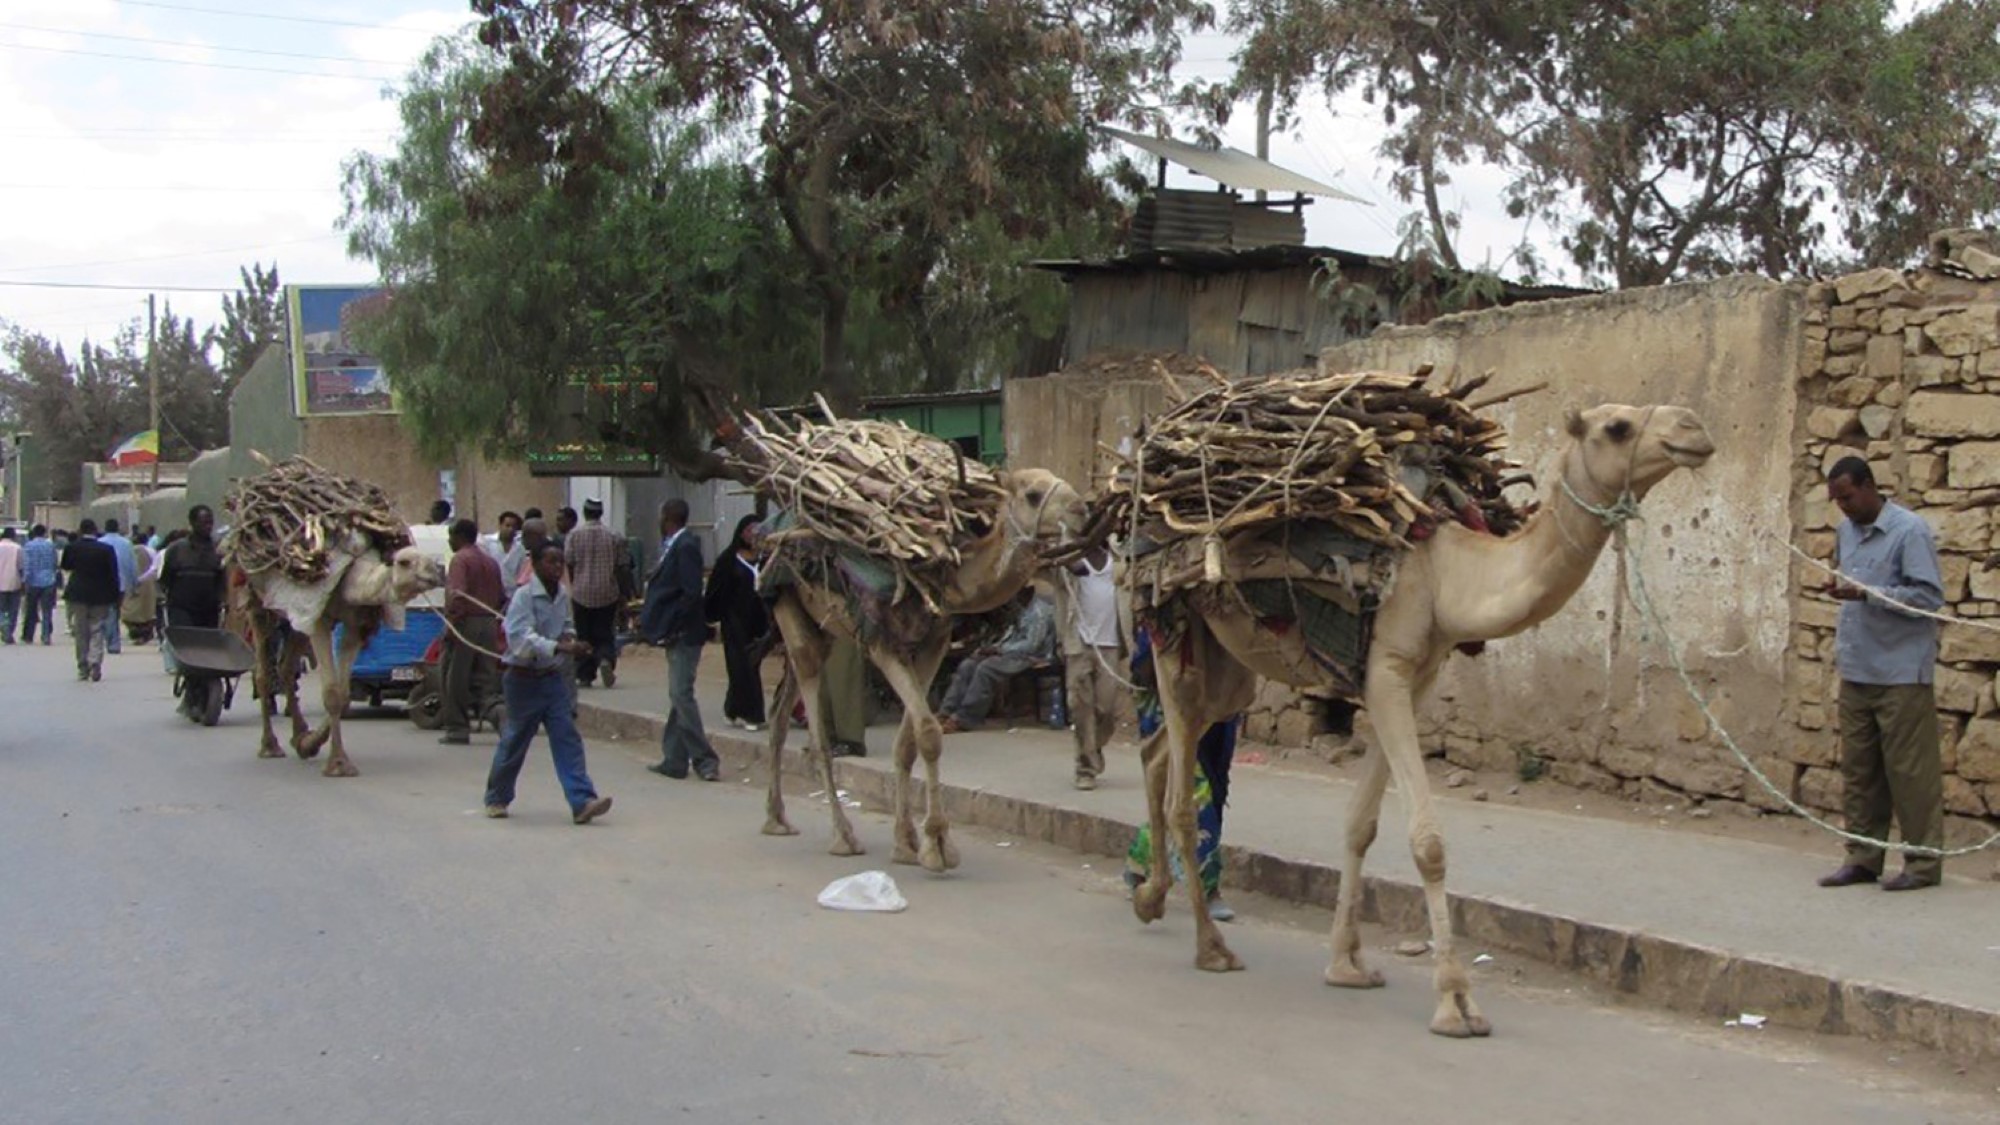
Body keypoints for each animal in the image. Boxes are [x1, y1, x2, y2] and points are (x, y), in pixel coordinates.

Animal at [236, 540, 444, 776]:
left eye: (428, 559)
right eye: (404, 562)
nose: (436, 572)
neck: (349, 580)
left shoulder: (355, 624)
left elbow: (343, 694)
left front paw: (311, 744)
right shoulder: (319, 619)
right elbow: (331, 692)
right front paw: (338, 763)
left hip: (296, 618)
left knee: (286, 667)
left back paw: (299, 736)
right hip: (257, 601)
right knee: (262, 672)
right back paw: (270, 746)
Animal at [1136, 382, 1712, 1032]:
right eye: (1616, 427)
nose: (1694, 429)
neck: (1445, 572)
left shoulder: (1417, 679)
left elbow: (1360, 824)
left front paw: (1348, 965)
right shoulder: (1386, 670)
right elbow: (1428, 844)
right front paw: (1456, 1000)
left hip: (1231, 663)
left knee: (1158, 748)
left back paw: (1149, 897)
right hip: (1171, 626)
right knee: (1182, 793)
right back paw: (1209, 946)